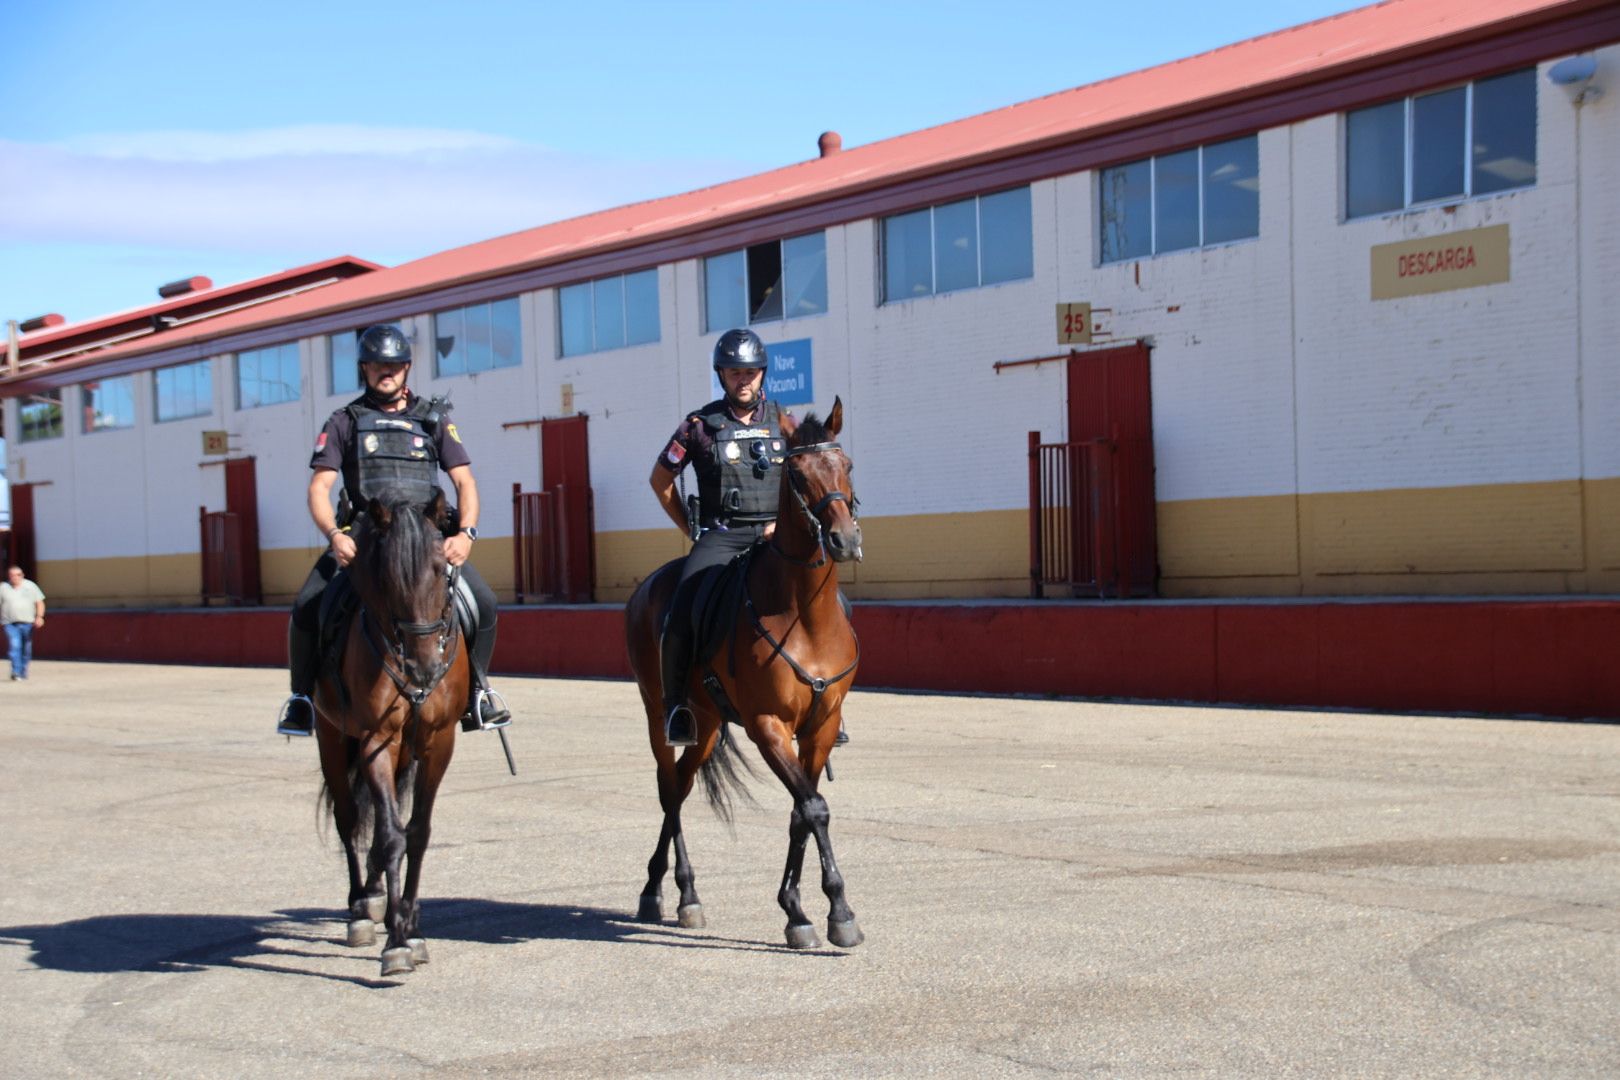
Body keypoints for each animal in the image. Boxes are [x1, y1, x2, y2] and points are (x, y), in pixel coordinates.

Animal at [312, 488, 469, 977]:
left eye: (441, 568)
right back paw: (362, 908)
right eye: (386, 580)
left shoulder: (438, 742)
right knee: (349, 819)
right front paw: (397, 942)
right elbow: (390, 832)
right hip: (330, 736)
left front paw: (411, 928)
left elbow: (416, 832)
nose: (424, 668)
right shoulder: (375, 740)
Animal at [625, 401, 868, 952]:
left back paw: (683, 894)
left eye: (846, 465)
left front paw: (799, 908)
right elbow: (814, 807)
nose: (844, 540)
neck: (804, 615)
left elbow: (803, 810)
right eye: (798, 475)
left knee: (683, 785)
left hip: (708, 723)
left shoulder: (820, 727)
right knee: (669, 790)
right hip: (660, 714)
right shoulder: (767, 726)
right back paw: (664, 892)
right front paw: (833, 911)